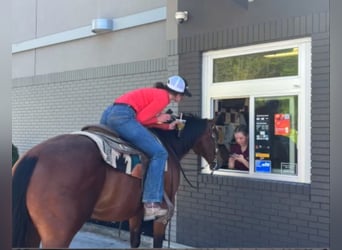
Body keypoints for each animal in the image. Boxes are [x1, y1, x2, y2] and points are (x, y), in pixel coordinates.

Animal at [12, 114, 218, 248]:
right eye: (215, 135)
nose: (217, 162)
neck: (168, 147)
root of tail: (34, 156)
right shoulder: (162, 218)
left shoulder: (136, 214)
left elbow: (135, 241)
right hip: (58, 234)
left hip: (33, 230)